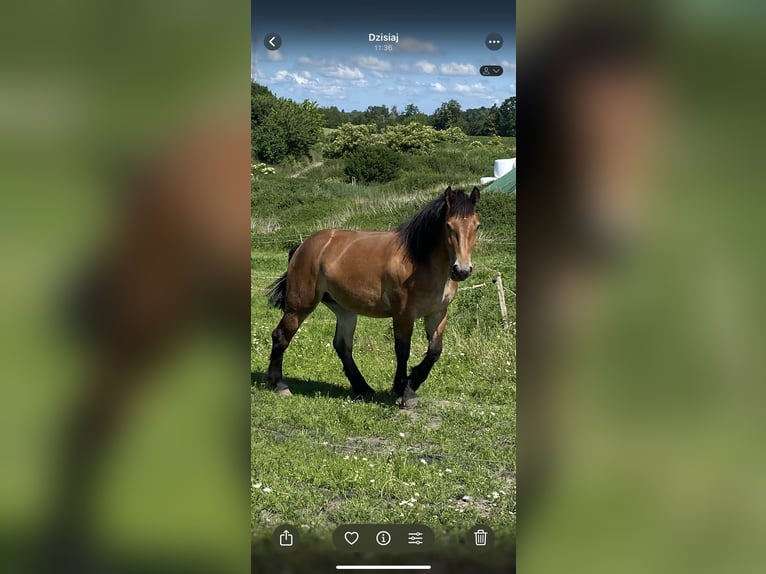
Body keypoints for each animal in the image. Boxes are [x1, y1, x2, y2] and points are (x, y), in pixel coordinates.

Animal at [265, 186, 480, 407]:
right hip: (300, 306)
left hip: (344, 310)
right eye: (448, 226)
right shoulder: (403, 315)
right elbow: (403, 350)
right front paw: (404, 390)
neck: (421, 263)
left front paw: (412, 382)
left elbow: (435, 351)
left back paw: (363, 388)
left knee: (342, 346)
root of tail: (303, 246)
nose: (462, 270)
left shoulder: (437, 313)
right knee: (281, 336)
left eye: (476, 226)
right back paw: (279, 385)